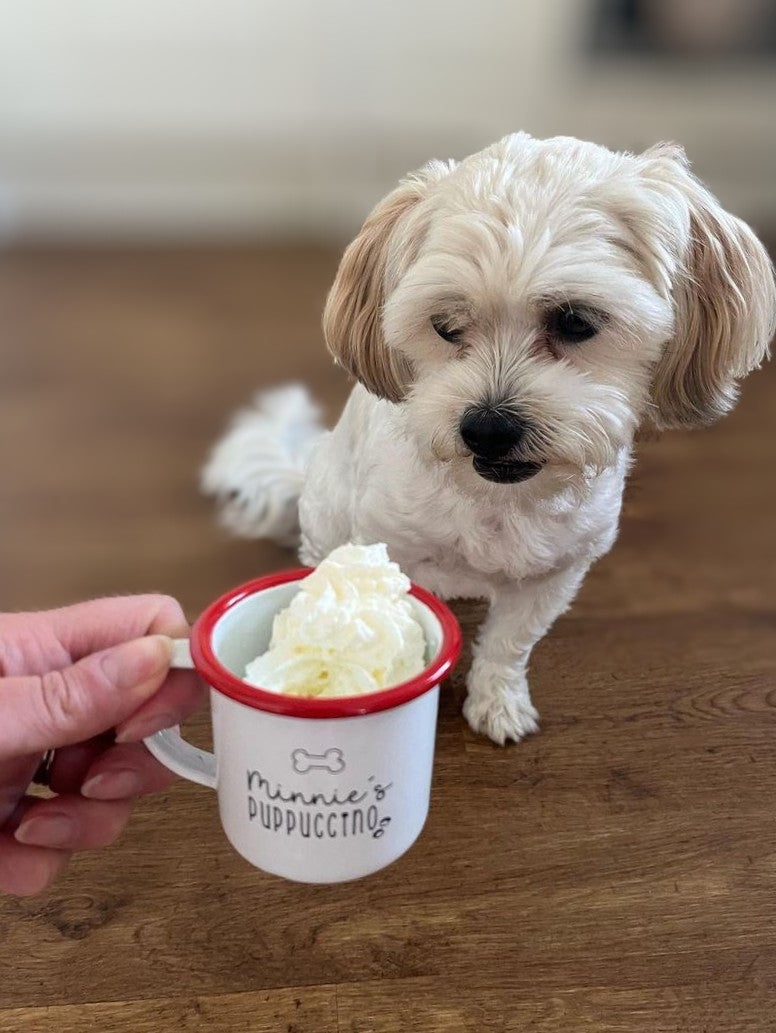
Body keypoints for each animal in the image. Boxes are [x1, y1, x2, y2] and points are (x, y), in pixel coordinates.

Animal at [201, 133, 776, 747]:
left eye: (575, 321)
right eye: (445, 325)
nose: (488, 428)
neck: (498, 503)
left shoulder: (555, 573)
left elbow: (509, 644)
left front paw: (497, 700)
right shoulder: (389, 546)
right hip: (329, 514)